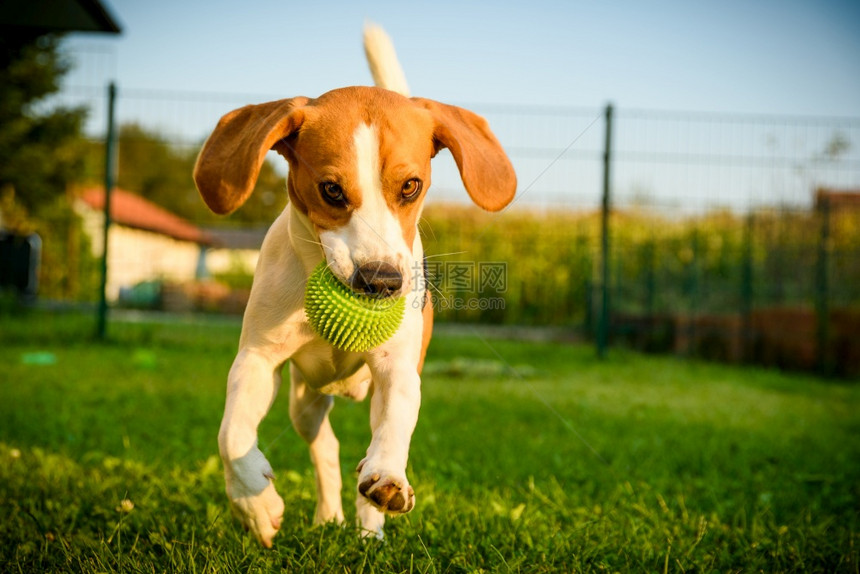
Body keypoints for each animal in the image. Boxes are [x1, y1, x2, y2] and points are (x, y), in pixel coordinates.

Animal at [193, 28, 516, 548]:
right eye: (331, 190)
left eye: (411, 186)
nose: (381, 281)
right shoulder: (257, 359)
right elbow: (232, 434)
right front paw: (255, 504)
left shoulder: (399, 367)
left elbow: (395, 424)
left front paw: (386, 478)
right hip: (305, 401)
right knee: (325, 448)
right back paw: (329, 517)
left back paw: (370, 526)